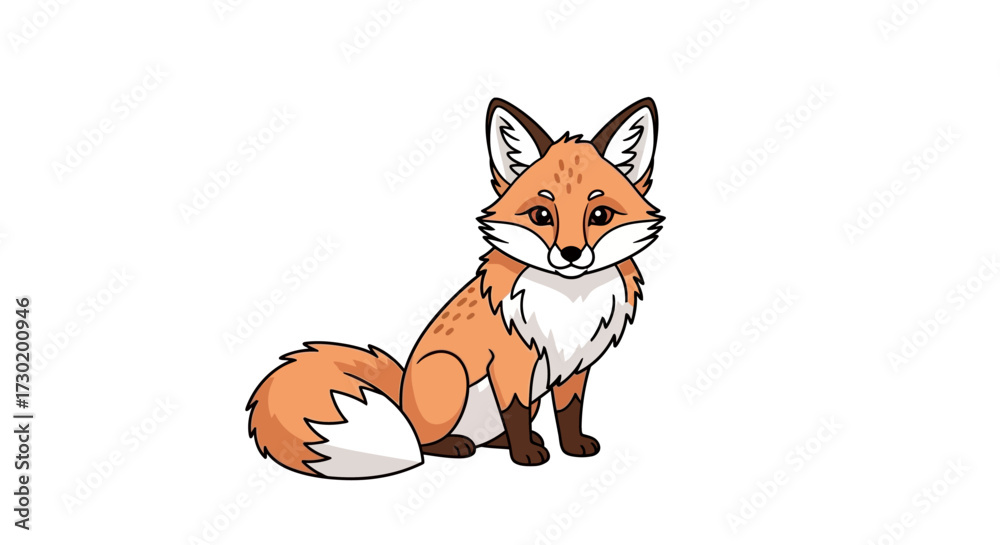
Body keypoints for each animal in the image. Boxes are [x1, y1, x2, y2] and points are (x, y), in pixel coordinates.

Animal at [246, 97, 663, 479]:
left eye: (600, 215)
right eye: (541, 215)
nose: (572, 254)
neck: (568, 301)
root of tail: (401, 397)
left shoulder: (575, 365)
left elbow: (569, 411)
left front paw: (572, 446)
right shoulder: (511, 364)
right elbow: (514, 412)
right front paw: (525, 455)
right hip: (450, 372)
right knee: (422, 442)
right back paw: (457, 445)